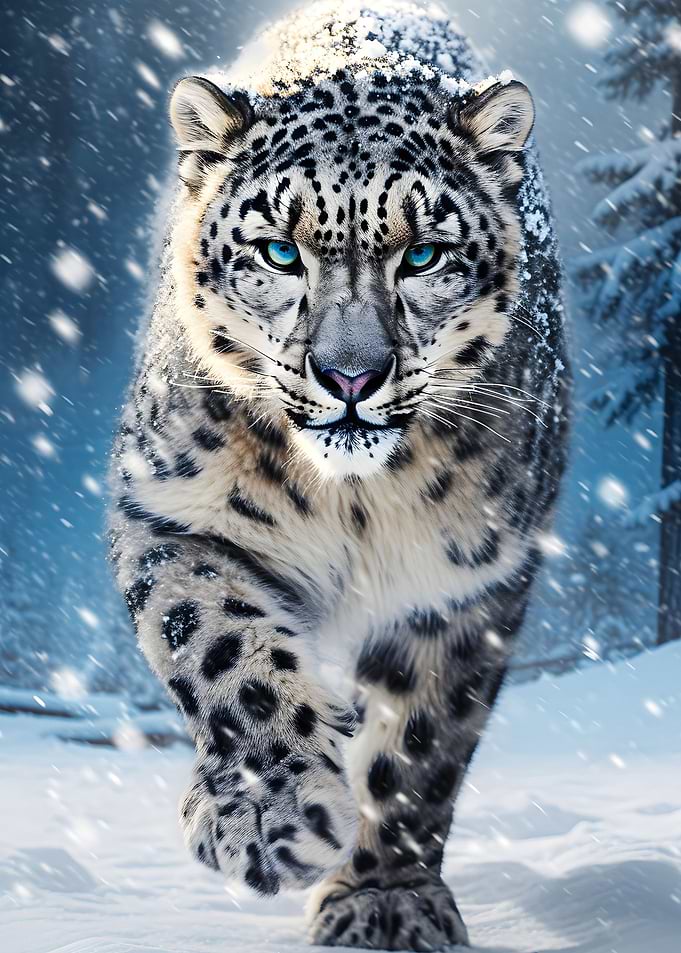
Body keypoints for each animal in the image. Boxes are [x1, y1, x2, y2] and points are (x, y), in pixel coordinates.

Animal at [108, 1, 569, 949]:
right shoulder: (174, 515)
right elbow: (219, 647)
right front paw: (268, 817)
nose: (349, 375)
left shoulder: (460, 581)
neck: (353, 504)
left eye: (423, 255)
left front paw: (385, 898)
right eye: (278, 252)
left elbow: (420, 743)